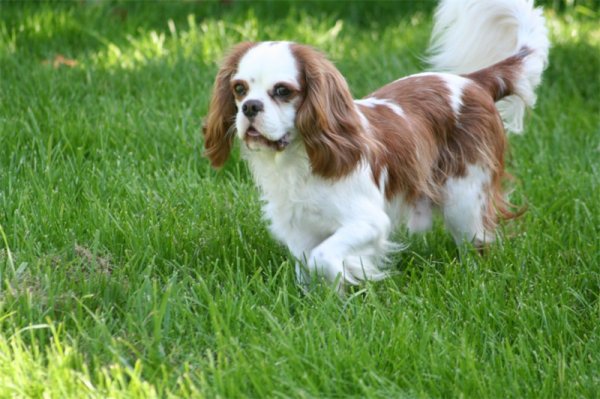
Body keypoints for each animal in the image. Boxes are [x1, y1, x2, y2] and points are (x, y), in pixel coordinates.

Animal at [202, 0, 548, 290]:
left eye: (283, 91)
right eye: (239, 89)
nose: (250, 107)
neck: (298, 159)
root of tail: (473, 81)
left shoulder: (368, 222)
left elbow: (321, 258)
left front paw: (346, 284)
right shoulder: (299, 229)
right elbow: (307, 264)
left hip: (464, 199)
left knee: (479, 243)